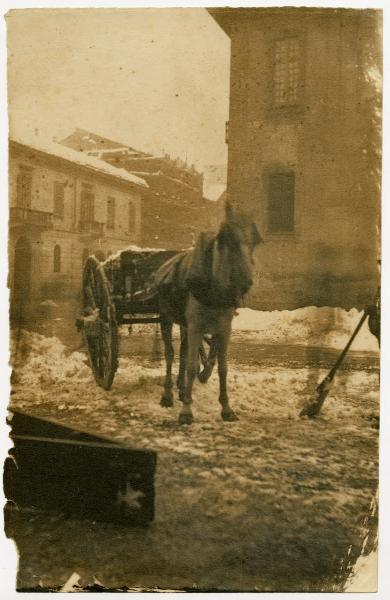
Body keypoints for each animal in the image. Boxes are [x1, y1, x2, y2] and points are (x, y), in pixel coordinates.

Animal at [155, 204, 262, 424]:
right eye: (227, 238)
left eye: (256, 240)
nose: (246, 283)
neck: (214, 290)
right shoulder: (196, 327)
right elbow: (192, 367)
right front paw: (186, 411)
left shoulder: (224, 329)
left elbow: (222, 368)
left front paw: (226, 408)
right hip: (166, 318)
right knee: (170, 354)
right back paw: (168, 394)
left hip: (185, 324)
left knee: (183, 351)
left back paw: (182, 390)